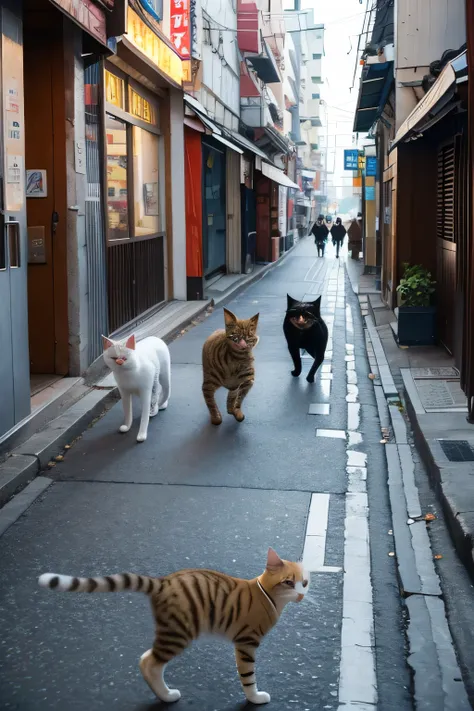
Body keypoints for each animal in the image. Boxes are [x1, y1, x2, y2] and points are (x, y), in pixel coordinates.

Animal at [39, 548, 310, 704]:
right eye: (288, 582)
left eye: (305, 583)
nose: (301, 595)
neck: (268, 597)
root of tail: (163, 582)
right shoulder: (246, 643)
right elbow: (248, 676)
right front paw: (255, 698)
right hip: (179, 633)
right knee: (150, 662)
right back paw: (167, 696)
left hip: (172, 630)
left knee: (145, 658)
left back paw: (163, 694)